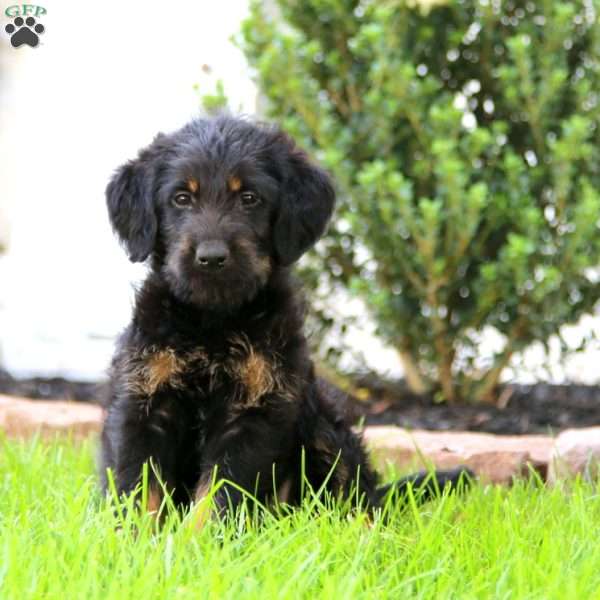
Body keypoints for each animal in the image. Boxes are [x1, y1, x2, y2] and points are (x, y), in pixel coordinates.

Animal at [99, 116, 474, 520]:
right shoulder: (143, 401)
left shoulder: (256, 411)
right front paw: (134, 534)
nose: (211, 258)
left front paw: (199, 535)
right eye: (181, 198)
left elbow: (218, 496)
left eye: (249, 198)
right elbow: (138, 491)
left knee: (355, 498)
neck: (211, 323)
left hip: (326, 427)